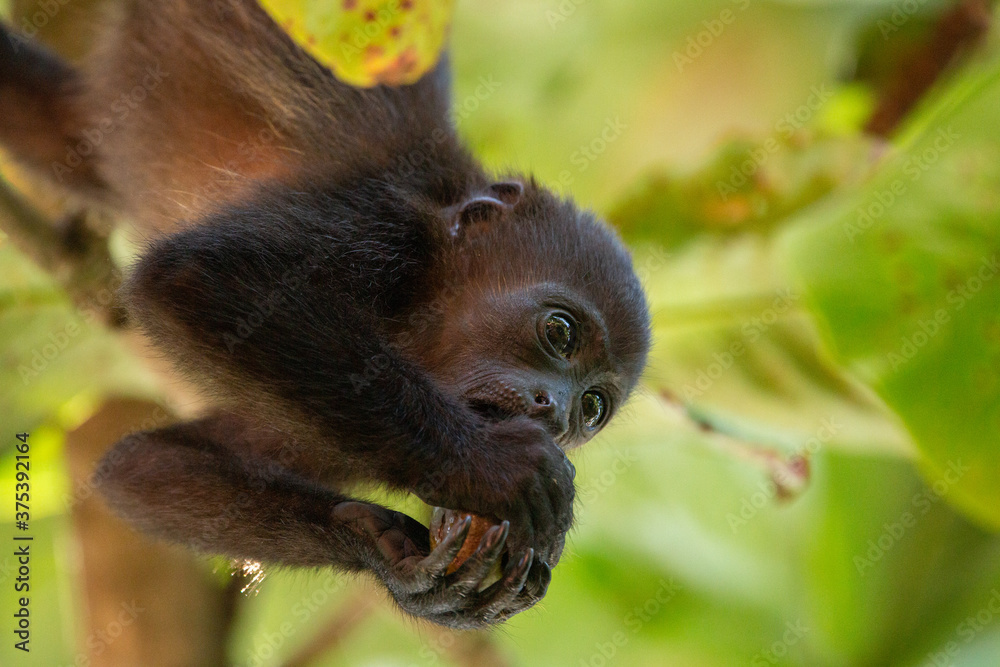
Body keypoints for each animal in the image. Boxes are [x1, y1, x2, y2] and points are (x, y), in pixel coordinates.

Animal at [0, 0, 650, 628]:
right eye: (559, 332)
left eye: (593, 407)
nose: (554, 413)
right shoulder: (374, 223)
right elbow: (199, 275)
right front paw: (491, 467)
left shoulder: (325, 449)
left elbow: (143, 466)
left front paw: (383, 553)